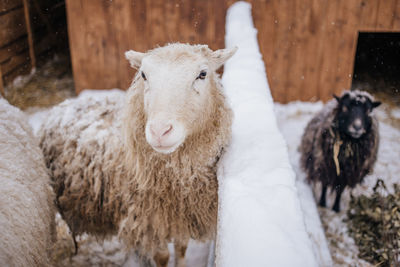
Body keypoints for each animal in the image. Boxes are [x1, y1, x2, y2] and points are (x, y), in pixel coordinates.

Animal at [39, 43, 236, 266]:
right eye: (143, 75)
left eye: (202, 74)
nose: (159, 131)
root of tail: (64, 104)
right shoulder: (149, 221)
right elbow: (162, 257)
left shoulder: (181, 215)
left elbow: (181, 248)